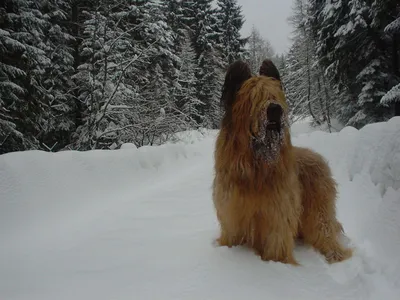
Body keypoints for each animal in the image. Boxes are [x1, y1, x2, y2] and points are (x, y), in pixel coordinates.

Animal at [212, 58, 354, 264]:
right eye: (254, 97)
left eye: (275, 95)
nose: (275, 109)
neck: (256, 167)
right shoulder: (233, 214)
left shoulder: (277, 214)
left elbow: (276, 241)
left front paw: (277, 264)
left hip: (318, 207)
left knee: (323, 228)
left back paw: (334, 253)